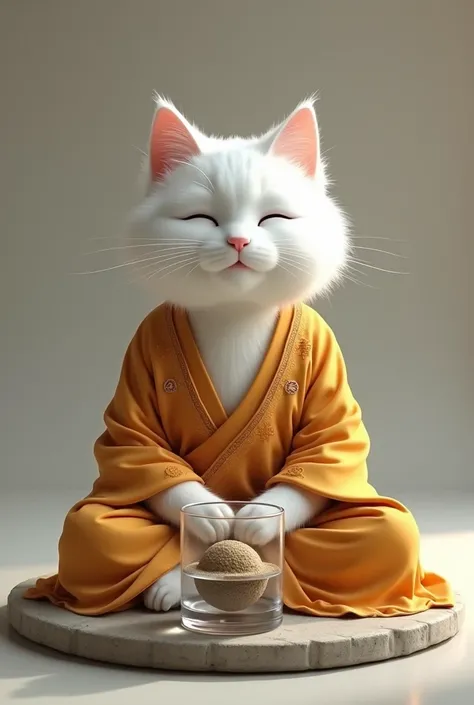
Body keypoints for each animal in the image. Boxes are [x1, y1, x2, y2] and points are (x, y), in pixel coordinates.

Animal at [129, 95, 348, 612]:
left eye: (274, 219)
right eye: (200, 219)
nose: (238, 240)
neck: (234, 316)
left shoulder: (327, 368)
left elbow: (322, 458)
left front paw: (251, 521)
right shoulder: (137, 367)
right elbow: (144, 457)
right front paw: (211, 513)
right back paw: (170, 588)